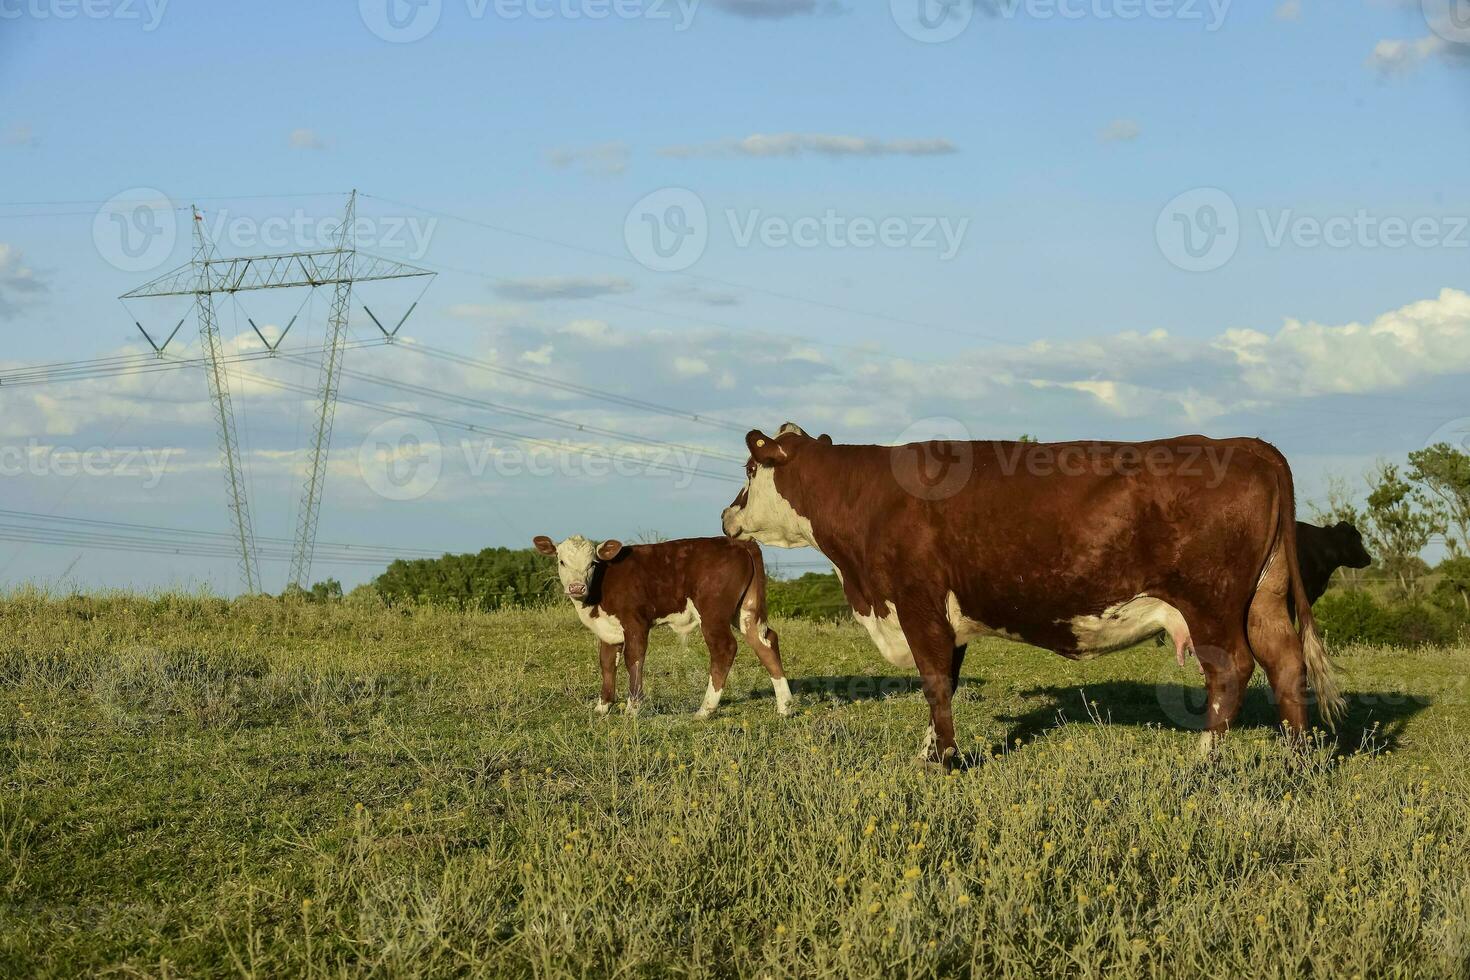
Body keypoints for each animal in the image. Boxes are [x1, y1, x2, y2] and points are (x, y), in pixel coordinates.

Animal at [532, 537, 793, 719]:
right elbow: (606, 663)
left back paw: (705, 710)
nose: (576, 587)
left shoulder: (635, 622)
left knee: (724, 649)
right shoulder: (608, 630)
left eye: (592, 563)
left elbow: (633, 659)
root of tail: (737, 542)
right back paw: (785, 706)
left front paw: (632, 709)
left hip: (712, 612)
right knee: (765, 642)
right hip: (746, 609)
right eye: (561, 561)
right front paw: (602, 707)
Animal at [723, 423, 1346, 764]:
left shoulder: (919, 604)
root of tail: (1245, 444)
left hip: (1212, 602)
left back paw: (1204, 759)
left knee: (1233, 670)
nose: (727, 515)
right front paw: (930, 752)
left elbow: (934, 681)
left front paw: (945, 760)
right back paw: (1295, 759)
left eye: (751, 468)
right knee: (1286, 663)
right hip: (1264, 599)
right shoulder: (947, 617)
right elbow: (946, 681)